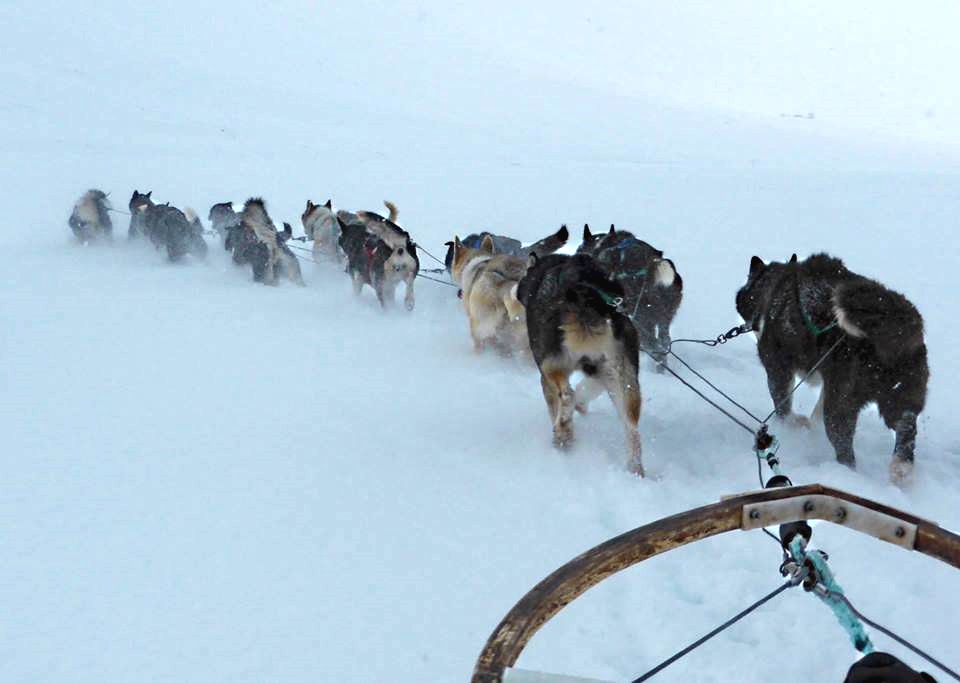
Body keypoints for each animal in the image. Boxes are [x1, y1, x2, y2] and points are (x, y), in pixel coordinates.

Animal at [516, 252, 644, 476]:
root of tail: (586, 301)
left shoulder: (546, 373)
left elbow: (556, 405)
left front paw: (563, 432)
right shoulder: (599, 371)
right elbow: (588, 388)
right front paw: (582, 406)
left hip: (553, 366)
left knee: (567, 395)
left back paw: (563, 434)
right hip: (626, 380)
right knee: (632, 430)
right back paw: (635, 470)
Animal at [736, 254, 928, 484]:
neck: (775, 286)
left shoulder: (778, 366)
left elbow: (783, 406)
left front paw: (794, 425)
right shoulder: (828, 381)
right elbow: (815, 412)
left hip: (840, 406)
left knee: (845, 450)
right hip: (899, 395)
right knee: (906, 428)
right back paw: (901, 472)